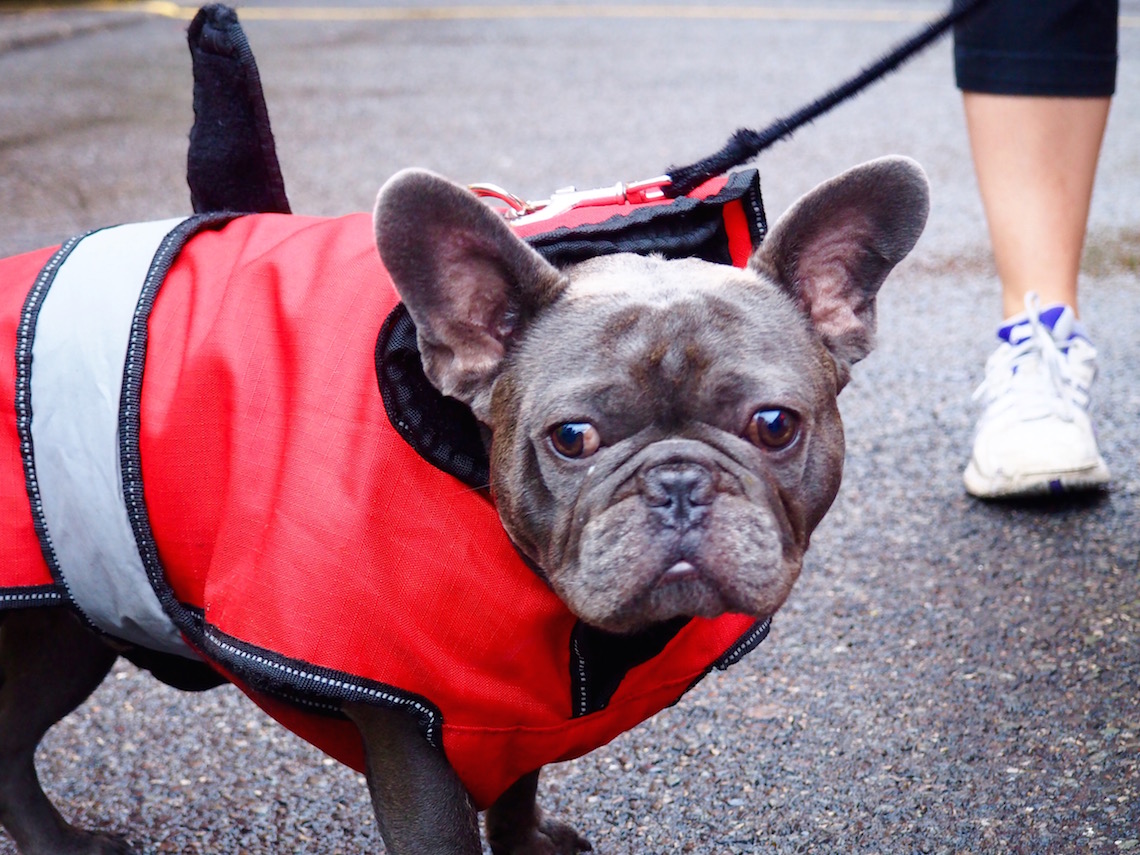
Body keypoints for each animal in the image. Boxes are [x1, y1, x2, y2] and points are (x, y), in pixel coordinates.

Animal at [0, 156, 925, 855]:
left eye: (774, 424)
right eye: (573, 437)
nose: (677, 483)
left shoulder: (517, 720)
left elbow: (518, 791)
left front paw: (530, 844)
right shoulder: (414, 747)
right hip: (54, 641)